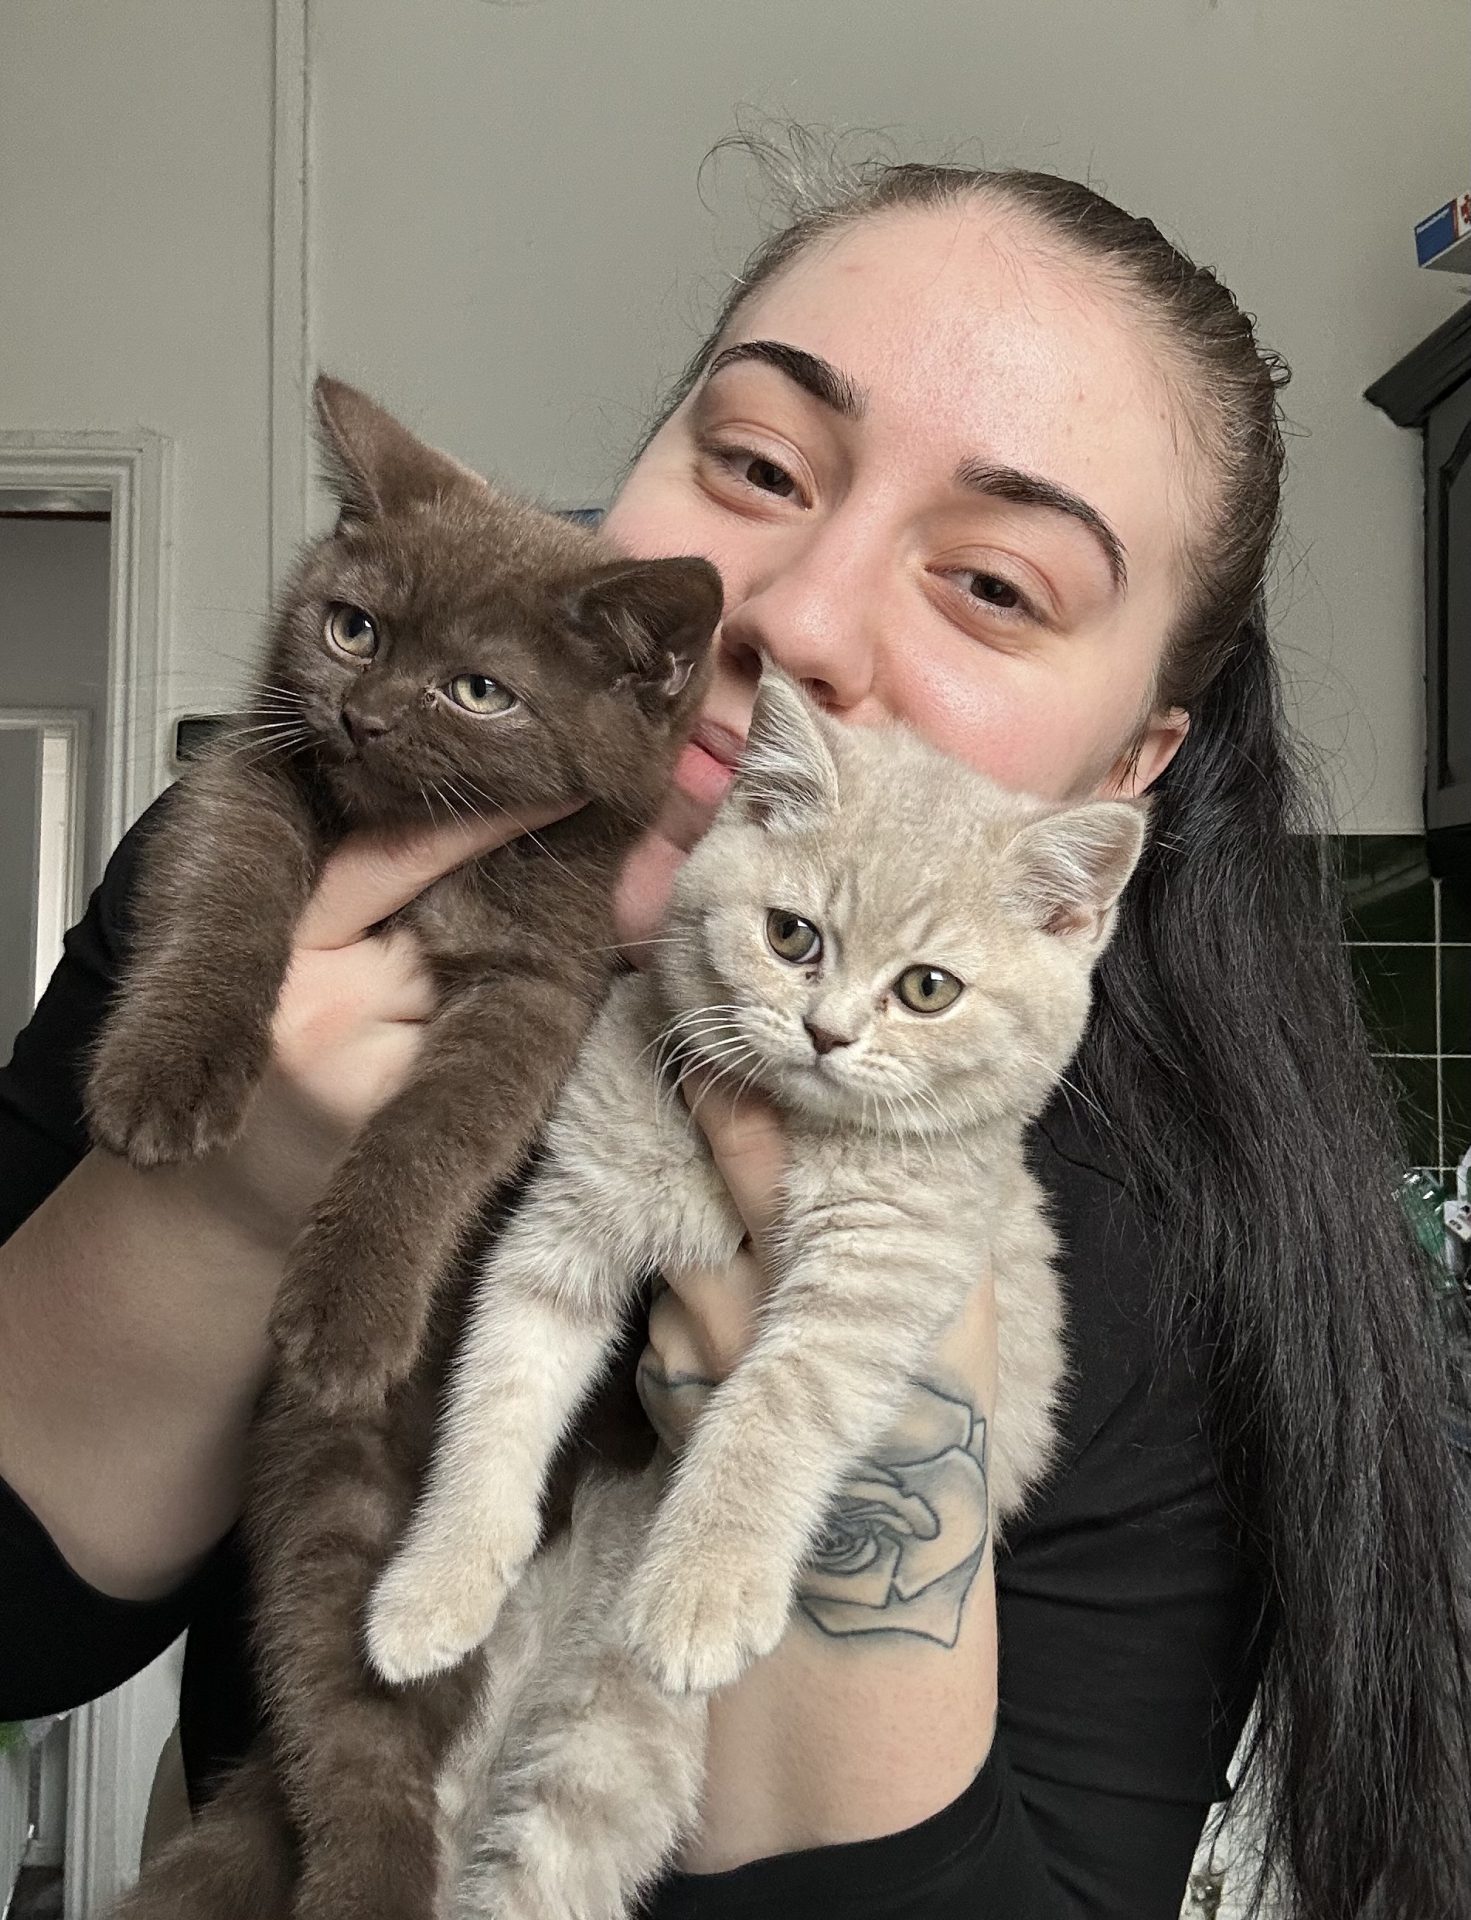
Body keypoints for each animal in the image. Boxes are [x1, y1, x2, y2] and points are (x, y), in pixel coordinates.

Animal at [94, 373, 721, 1920]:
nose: (366, 716)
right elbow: (227, 884)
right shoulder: (254, 779)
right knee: (343, 1715)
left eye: (480, 690)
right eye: (354, 627)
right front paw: (163, 1071)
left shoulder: (546, 981)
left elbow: (439, 1127)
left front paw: (353, 1297)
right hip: (326, 1487)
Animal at [365, 666, 1147, 1919]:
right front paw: (433, 1585)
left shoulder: (884, 1267)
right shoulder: (566, 1229)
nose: (827, 1032)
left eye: (928, 988)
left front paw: (703, 1586)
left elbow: (770, 1410)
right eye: (791, 935)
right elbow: (497, 1399)